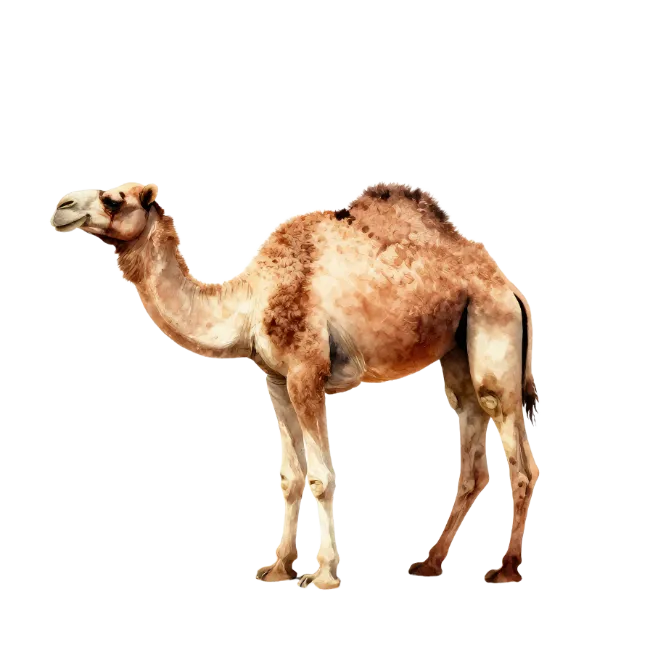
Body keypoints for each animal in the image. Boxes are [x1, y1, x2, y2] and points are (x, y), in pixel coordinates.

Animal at [49, 180, 540, 588]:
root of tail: (513, 289)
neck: (249, 302)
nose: (61, 207)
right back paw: (429, 563)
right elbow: (289, 476)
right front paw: (279, 567)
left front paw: (322, 575)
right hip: (458, 347)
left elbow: (321, 476)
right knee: (471, 441)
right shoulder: (276, 380)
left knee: (518, 454)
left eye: (114, 199)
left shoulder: (308, 373)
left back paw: (506, 569)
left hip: (494, 330)